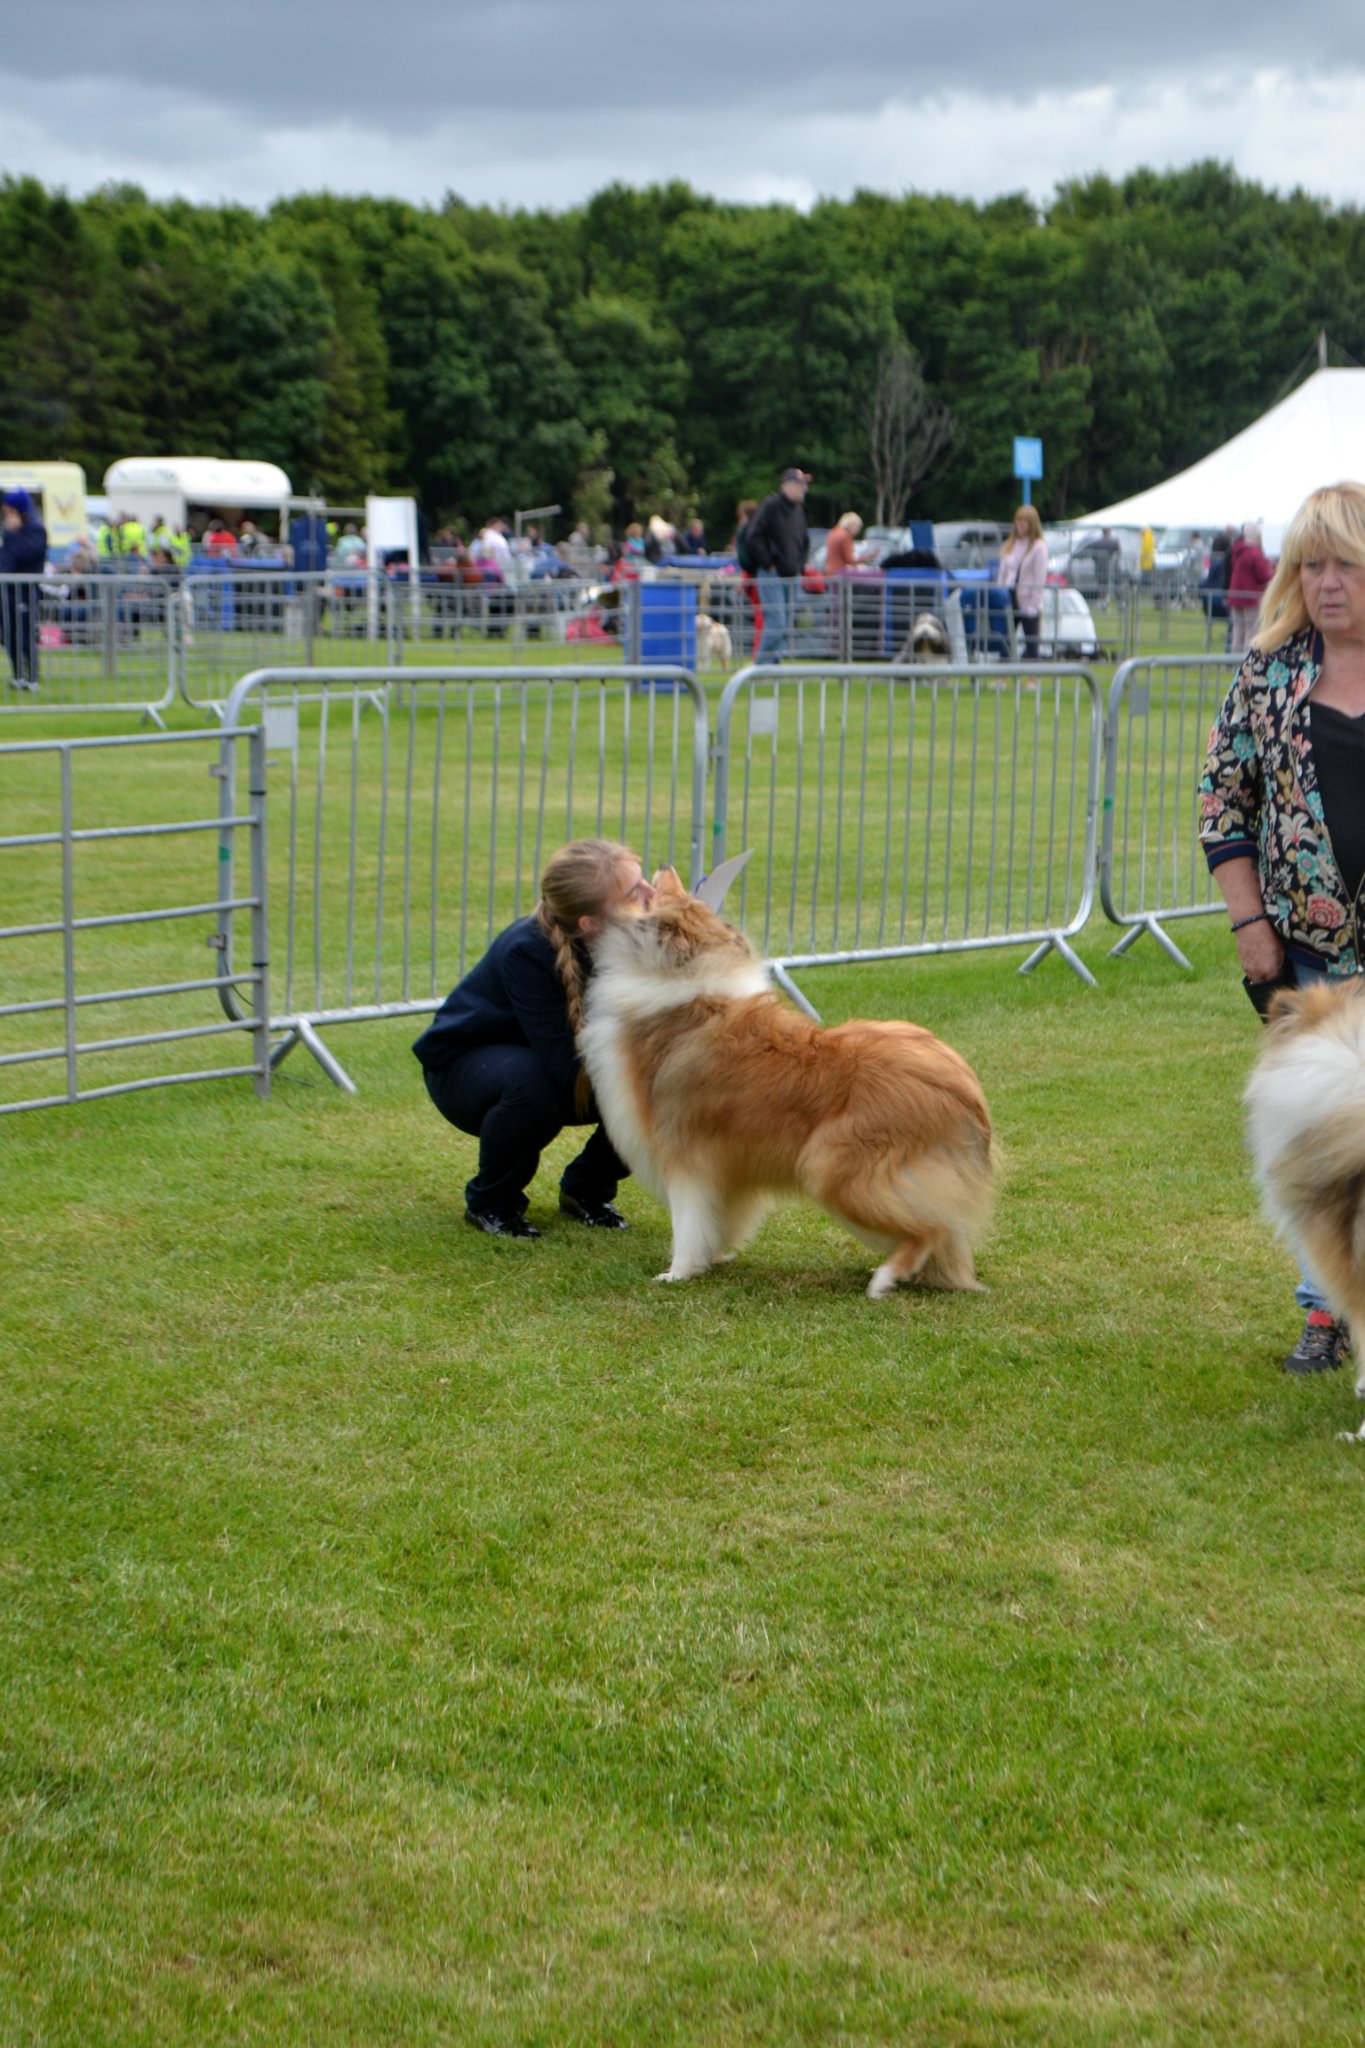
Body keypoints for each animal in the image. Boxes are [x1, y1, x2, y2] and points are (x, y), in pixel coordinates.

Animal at [581, 868, 998, 1294]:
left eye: (654, 897)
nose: (664, 868)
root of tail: (963, 1085)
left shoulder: (684, 1154)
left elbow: (688, 1223)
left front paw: (677, 1272)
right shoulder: (725, 1167)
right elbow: (716, 1219)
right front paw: (713, 1258)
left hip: (835, 1170)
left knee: (933, 1227)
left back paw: (885, 1278)